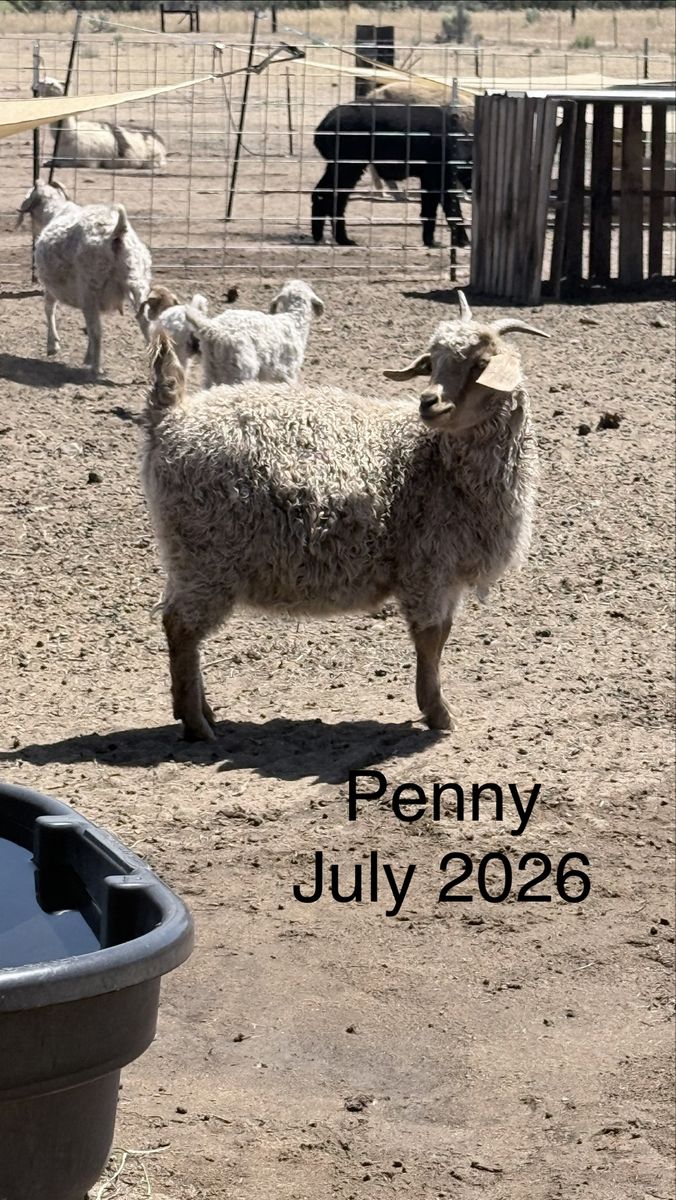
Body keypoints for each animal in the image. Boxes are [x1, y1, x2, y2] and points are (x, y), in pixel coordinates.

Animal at [17, 179, 151, 377]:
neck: (55, 211)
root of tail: (117, 231)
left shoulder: (51, 286)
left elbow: (49, 308)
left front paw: (53, 345)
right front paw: (86, 355)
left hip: (90, 288)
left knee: (96, 330)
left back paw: (96, 367)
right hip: (137, 284)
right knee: (147, 325)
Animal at [141, 291, 548, 741]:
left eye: (480, 365)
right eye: (433, 363)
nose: (430, 402)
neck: (434, 459)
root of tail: (170, 419)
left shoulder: (448, 572)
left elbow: (442, 635)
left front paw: (434, 708)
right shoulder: (427, 566)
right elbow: (430, 638)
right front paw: (438, 714)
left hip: (186, 558)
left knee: (178, 624)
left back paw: (201, 711)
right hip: (206, 557)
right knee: (181, 627)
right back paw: (197, 725)